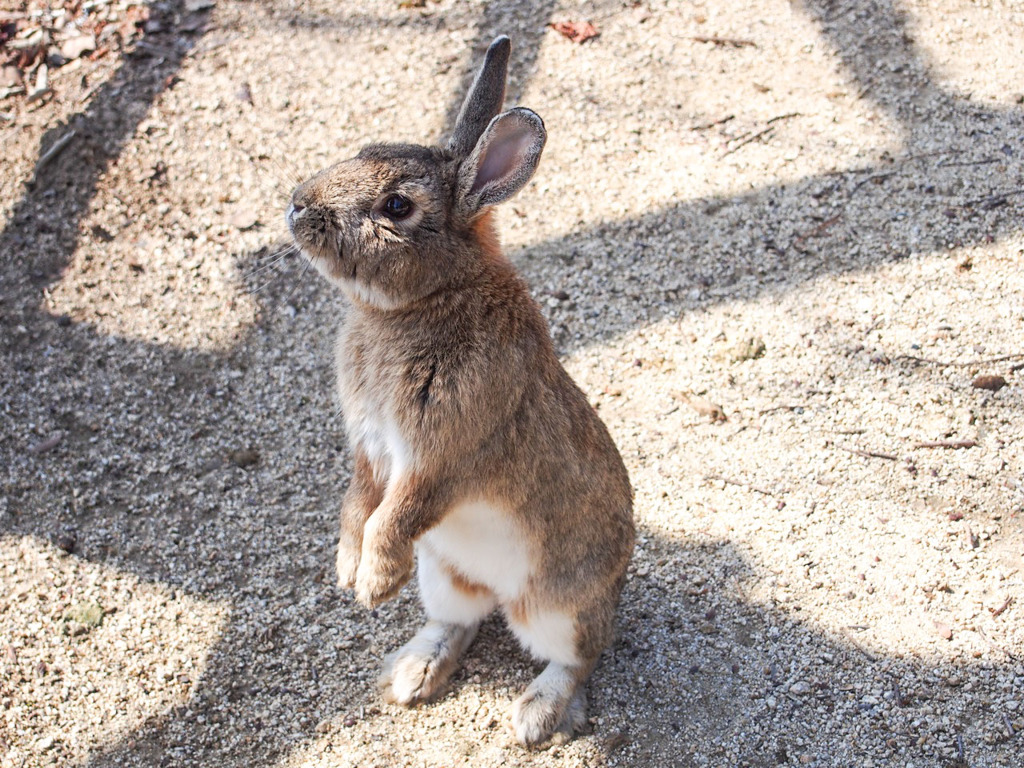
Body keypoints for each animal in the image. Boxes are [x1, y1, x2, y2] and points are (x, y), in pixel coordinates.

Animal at [286, 34, 630, 745]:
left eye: (397, 207)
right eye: (365, 147)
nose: (298, 205)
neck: (427, 299)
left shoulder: (443, 456)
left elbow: (398, 512)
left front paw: (372, 585)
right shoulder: (371, 449)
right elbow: (360, 502)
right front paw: (346, 569)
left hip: (557, 605)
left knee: (579, 657)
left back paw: (535, 715)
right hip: (442, 575)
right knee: (460, 621)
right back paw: (413, 674)